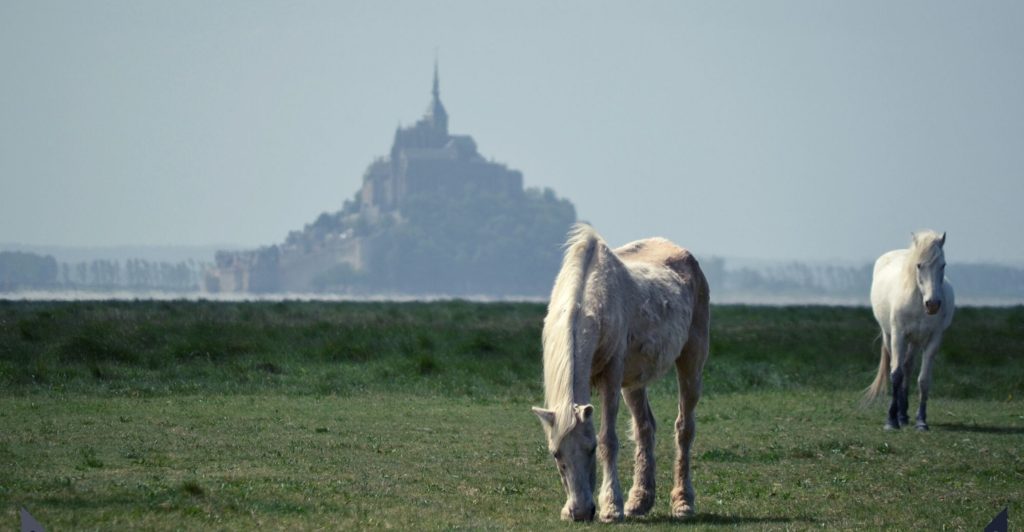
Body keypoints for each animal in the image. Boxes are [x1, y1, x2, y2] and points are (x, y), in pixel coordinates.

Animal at [532, 222, 708, 521]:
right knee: (645, 428)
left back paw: (683, 503)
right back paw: (639, 501)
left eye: (590, 448)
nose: (580, 512)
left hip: (691, 361)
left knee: (684, 428)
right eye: (556, 454)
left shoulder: (612, 376)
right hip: (634, 382)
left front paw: (612, 508)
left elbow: (609, 440)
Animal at [868, 230, 954, 429]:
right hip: (889, 336)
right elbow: (896, 374)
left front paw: (921, 420)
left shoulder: (934, 339)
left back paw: (903, 414)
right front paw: (891, 420)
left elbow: (923, 379)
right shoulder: (898, 335)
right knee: (897, 367)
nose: (933, 304)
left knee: (908, 367)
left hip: (914, 340)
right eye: (919, 265)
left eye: (943, 265)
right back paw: (898, 415)